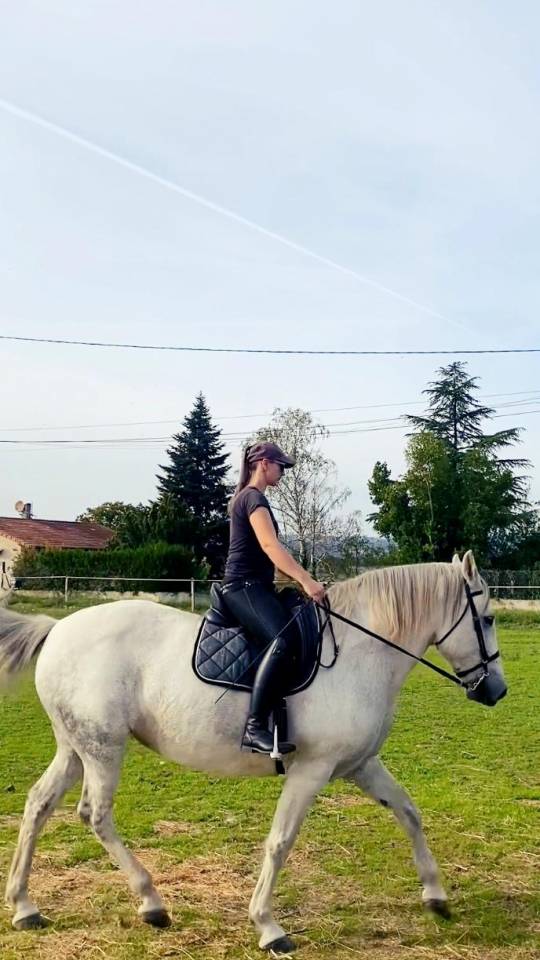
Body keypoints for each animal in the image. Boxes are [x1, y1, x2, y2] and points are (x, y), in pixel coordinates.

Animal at [0, 551, 506, 954]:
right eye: (487, 619)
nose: (496, 691)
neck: (361, 654)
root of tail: (58, 629)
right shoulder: (312, 769)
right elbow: (280, 841)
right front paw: (268, 926)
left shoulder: (360, 765)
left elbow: (408, 812)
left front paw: (436, 895)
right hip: (103, 747)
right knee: (96, 814)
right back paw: (152, 903)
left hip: (74, 748)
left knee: (39, 803)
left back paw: (25, 905)